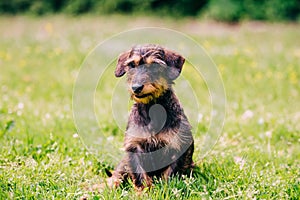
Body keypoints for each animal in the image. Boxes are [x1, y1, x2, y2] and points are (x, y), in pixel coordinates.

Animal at [106, 43, 193, 191]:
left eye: (155, 66)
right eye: (132, 65)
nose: (136, 87)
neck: (152, 108)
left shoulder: (177, 146)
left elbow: (169, 174)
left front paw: (165, 189)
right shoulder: (134, 147)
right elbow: (140, 175)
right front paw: (144, 191)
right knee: (117, 174)